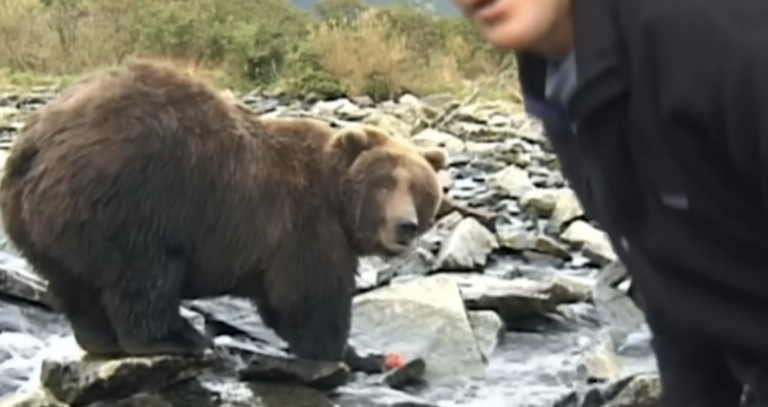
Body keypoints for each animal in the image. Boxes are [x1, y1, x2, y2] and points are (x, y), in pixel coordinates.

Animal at [0, 59, 447, 366]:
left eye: (420, 188)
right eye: (385, 183)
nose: (405, 226)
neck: (338, 201)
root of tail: (35, 141)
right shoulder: (304, 224)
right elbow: (309, 296)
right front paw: (349, 353)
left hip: (40, 222)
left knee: (73, 284)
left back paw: (100, 339)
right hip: (132, 200)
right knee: (145, 276)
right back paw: (180, 339)